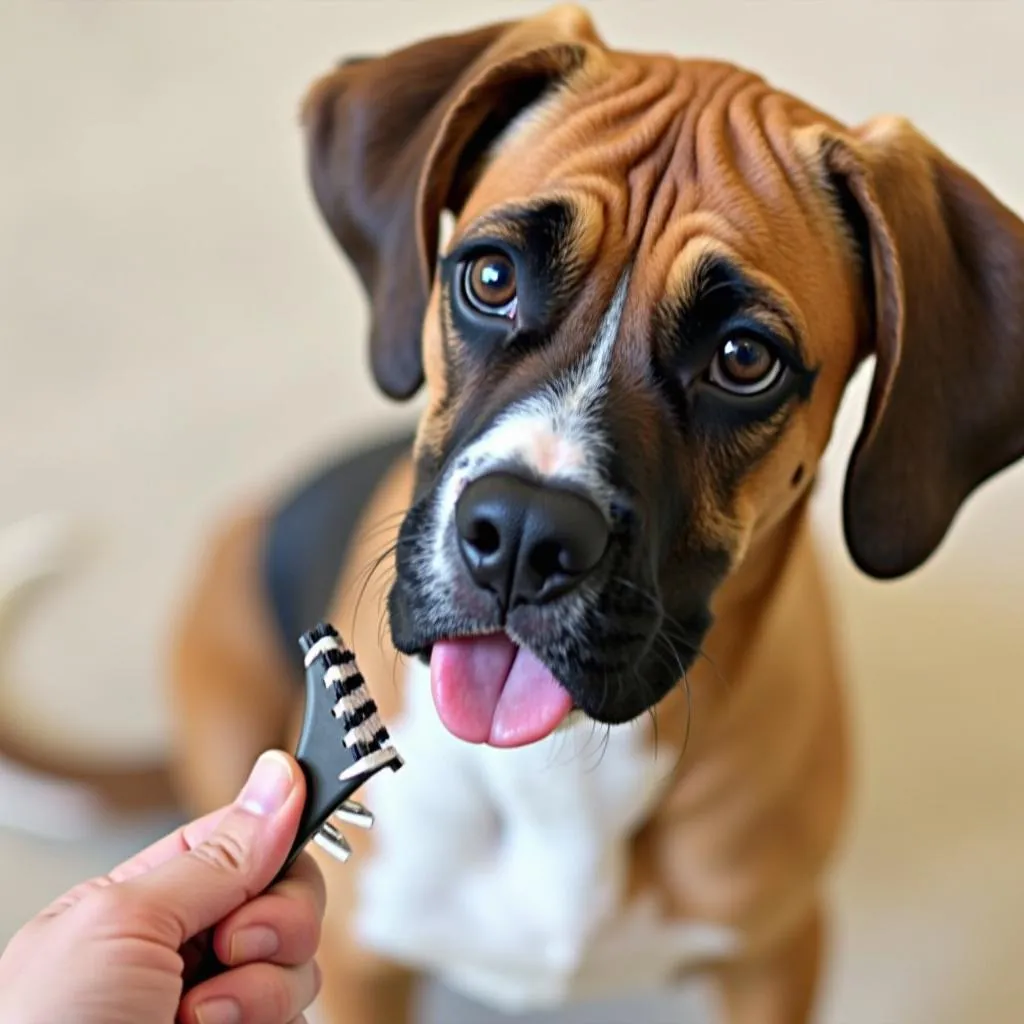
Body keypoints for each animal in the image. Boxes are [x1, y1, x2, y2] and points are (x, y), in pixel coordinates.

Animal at [8, 2, 1024, 1024]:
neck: (559, 769)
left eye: (745, 358)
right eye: (491, 278)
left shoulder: (775, 957)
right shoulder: (361, 964)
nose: (525, 536)